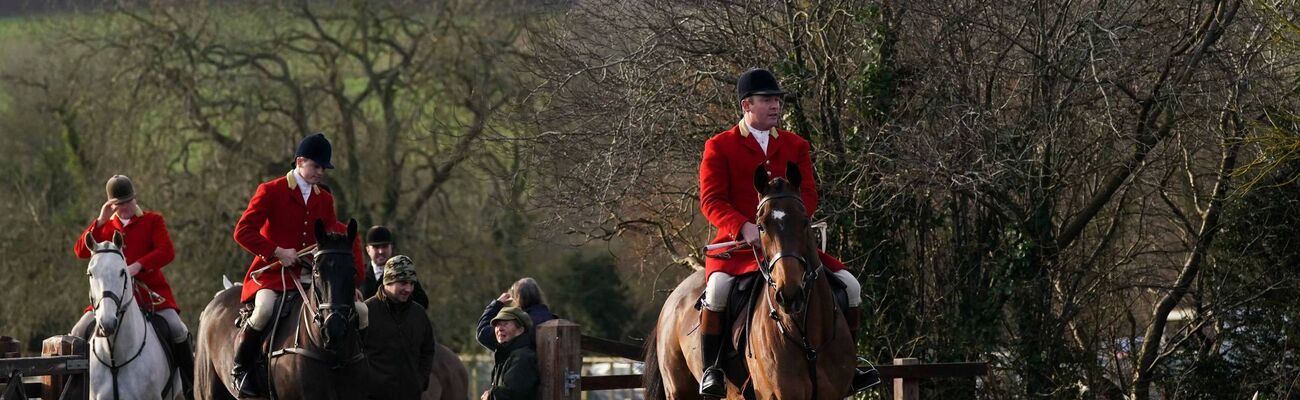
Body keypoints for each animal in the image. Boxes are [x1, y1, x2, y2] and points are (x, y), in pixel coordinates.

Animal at [644, 164, 857, 397]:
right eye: (761, 227)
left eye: (805, 222)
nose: (789, 294)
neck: (807, 337)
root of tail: (672, 300)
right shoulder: (780, 394)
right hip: (679, 390)